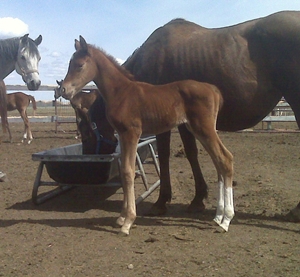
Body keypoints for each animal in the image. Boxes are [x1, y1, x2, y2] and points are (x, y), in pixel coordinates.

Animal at [60, 36, 234, 235]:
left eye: (80, 65)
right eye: (69, 63)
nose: (63, 90)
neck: (121, 92)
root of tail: (213, 89)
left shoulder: (131, 133)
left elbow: (128, 172)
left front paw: (128, 222)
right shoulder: (123, 135)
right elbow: (124, 171)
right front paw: (121, 217)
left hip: (204, 128)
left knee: (225, 159)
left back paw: (226, 220)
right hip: (199, 130)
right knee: (219, 162)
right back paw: (218, 216)